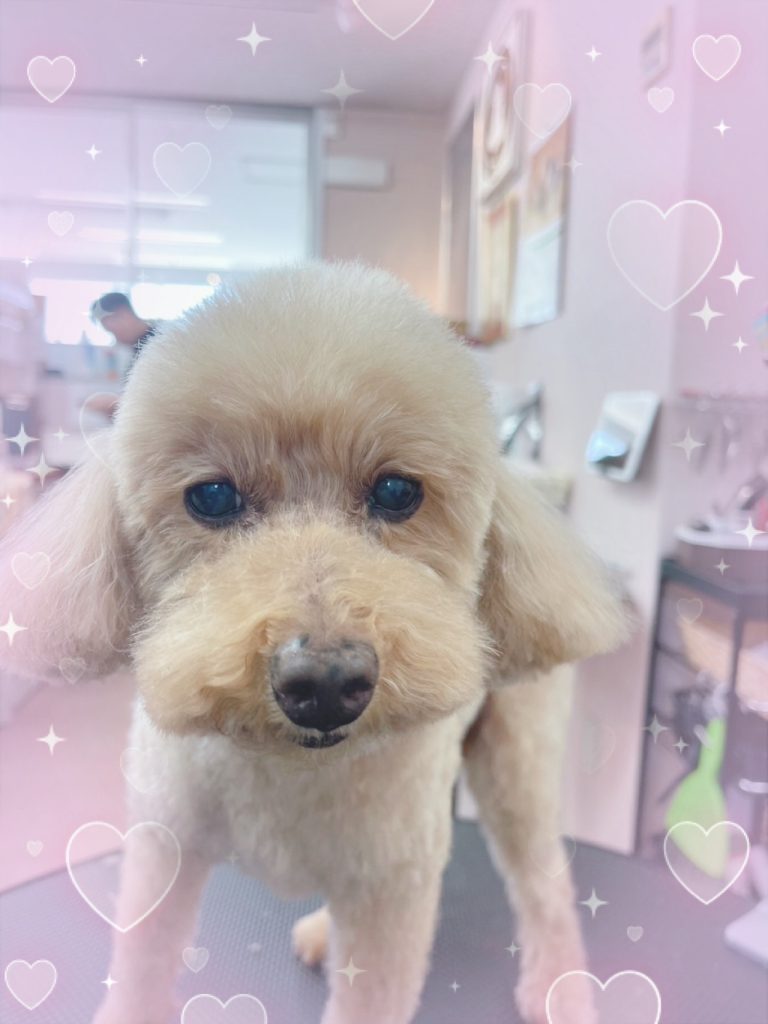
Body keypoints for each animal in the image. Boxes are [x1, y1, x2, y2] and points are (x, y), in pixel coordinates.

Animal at [1, 262, 626, 1024]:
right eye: (212, 497)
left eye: (397, 491)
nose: (326, 684)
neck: (289, 769)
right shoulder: (164, 846)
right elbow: (140, 971)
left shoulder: (393, 890)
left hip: (517, 760)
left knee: (542, 876)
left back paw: (557, 987)